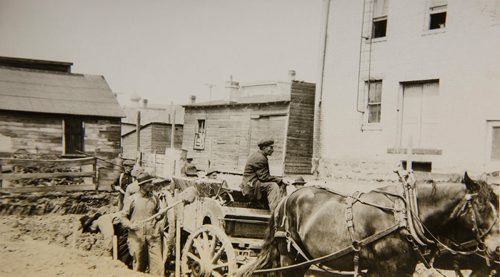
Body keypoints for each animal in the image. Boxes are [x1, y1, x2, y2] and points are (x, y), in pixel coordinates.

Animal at [239, 172, 500, 276]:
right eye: (481, 206)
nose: (497, 249)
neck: (406, 216)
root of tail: (286, 200)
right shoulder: (388, 267)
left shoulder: (398, 268)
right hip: (289, 257)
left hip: (303, 258)